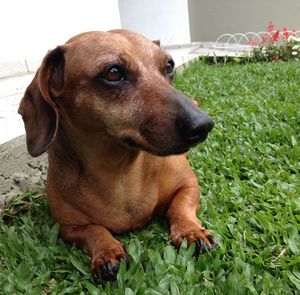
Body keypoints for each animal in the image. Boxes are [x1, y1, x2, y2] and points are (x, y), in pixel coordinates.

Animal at [18, 29, 214, 282]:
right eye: (113, 73)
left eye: (169, 66)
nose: (203, 125)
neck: (120, 172)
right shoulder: (67, 226)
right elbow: (94, 230)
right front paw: (107, 251)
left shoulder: (188, 186)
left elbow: (179, 207)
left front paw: (191, 231)